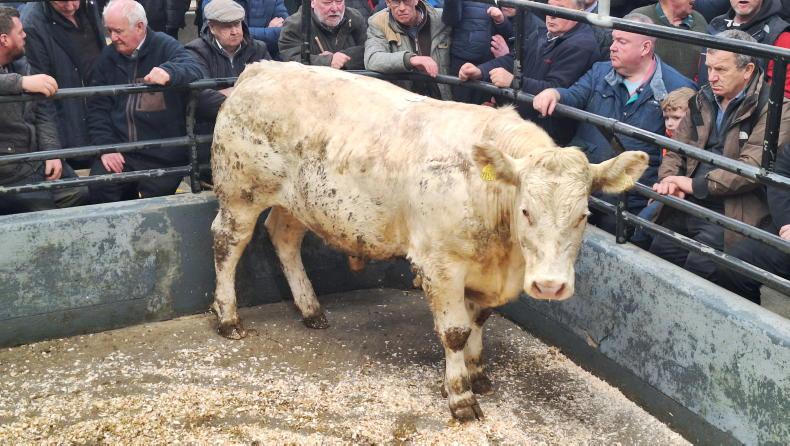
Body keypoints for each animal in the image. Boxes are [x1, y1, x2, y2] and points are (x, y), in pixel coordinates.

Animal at [210, 61, 648, 421]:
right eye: (526, 210)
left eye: (584, 216)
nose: (550, 286)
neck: (504, 254)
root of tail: (260, 68)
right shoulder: (441, 265)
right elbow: (454, 331)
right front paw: (460, 398)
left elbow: (477, 322)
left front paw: (477, 373)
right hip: (240, 193)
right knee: (227, 243)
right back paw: (228, 317)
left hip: (299, 202)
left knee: (284, 239)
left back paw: (310, 309)